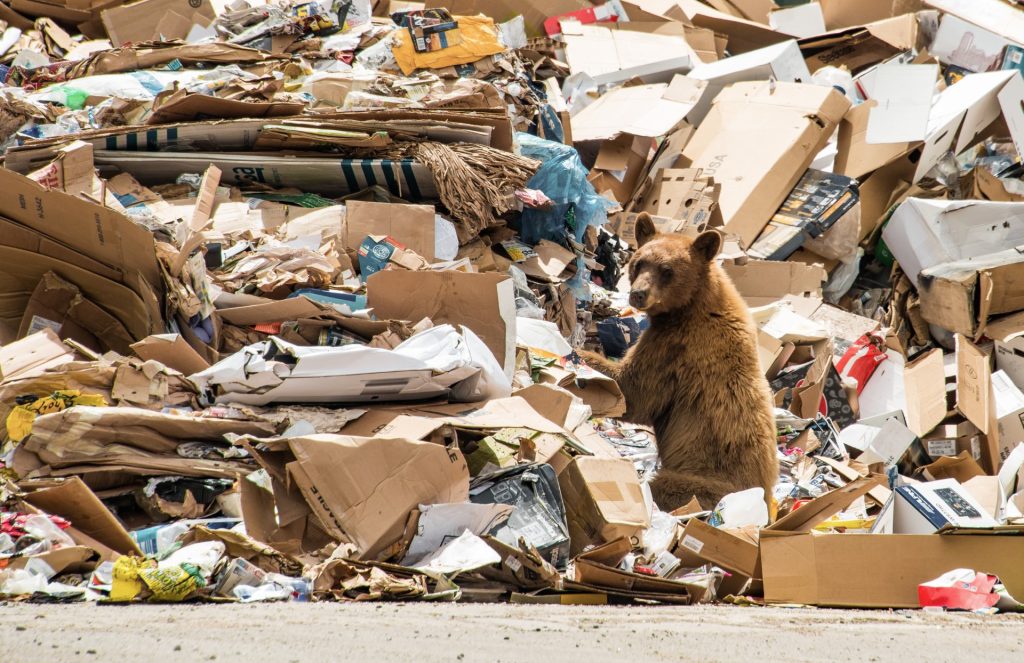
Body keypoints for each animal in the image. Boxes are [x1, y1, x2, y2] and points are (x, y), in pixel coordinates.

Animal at [580, 214, 778, 512]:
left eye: (667, 270)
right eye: (639, 262)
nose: (638, 294)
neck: (690, 306)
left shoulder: (677, 350)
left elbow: (634, 395)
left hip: (705, 485)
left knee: (666, 486)